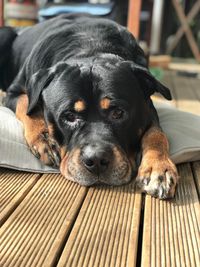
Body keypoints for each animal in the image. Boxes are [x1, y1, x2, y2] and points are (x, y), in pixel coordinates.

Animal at [0, 14, 178, 199]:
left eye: (118, 113)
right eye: (69, 116)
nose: (97, 160)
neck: (90, 46)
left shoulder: (148, 107)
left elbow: (156, 134)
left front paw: (159, 168)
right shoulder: (13, 92)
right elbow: (28, 107)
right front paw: (45, 139)